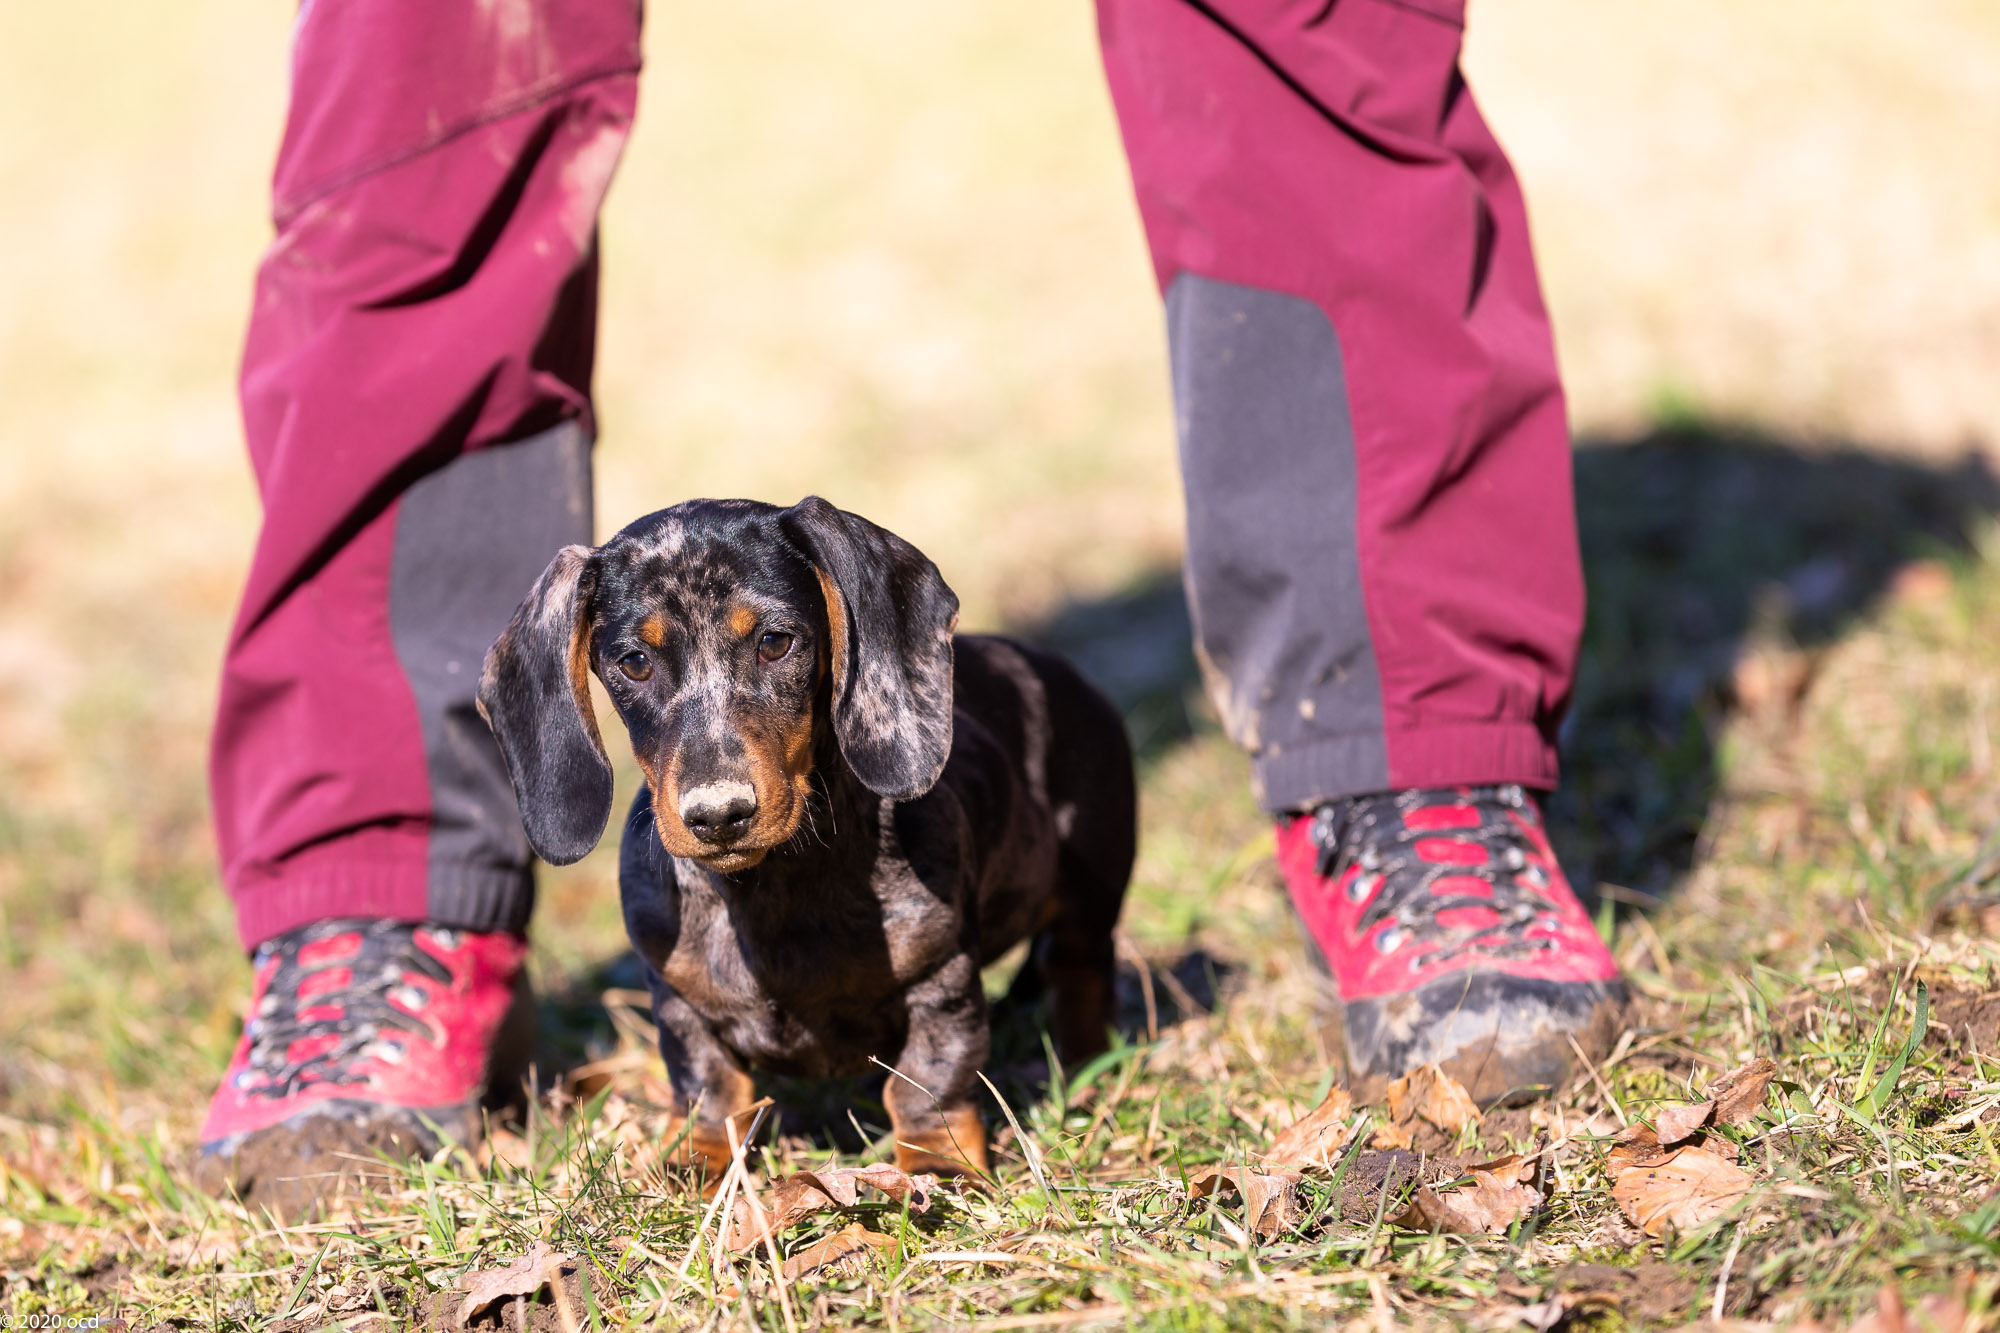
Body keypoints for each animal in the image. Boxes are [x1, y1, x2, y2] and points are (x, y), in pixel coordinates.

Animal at [478, 496, 1136, 1176]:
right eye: (634, 663)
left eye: (775, 642)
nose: (719, 815)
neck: (771, 887)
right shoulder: (681, 1004)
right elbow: (711, 1089)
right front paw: (700, 1162)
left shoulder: (942, 978)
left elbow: (928, 1083)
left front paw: (938, 1164)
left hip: (1091, 884)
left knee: (1078, 967)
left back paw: (1085, 1066)